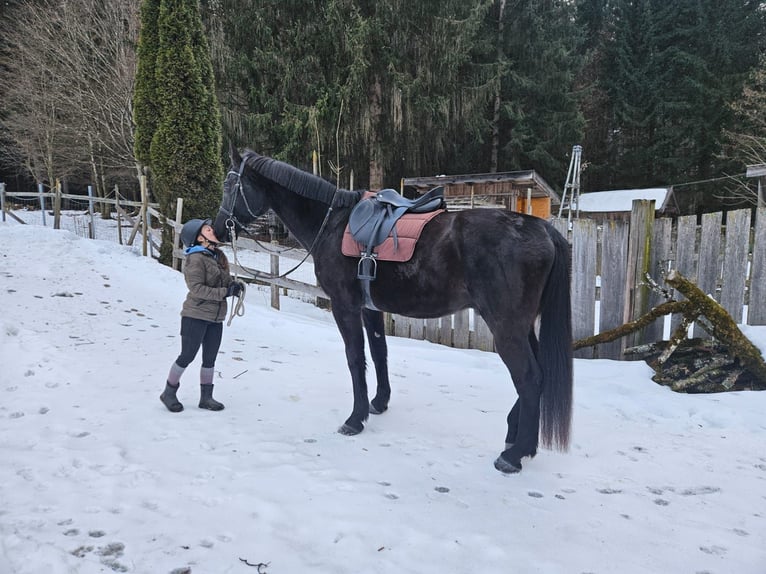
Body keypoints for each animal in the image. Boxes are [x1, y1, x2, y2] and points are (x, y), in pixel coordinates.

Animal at [213, 150, 572, 476]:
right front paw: (378, 403)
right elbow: (378, 352)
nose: (216, 230)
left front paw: (355, 419)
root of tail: (541, 229)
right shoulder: (371, 309)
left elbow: (355, 358)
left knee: (529, 377)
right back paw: (518, 440)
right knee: (537, 374)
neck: (331, 223)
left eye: (231, 185)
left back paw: (513, 455)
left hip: (505, 327)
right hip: (522, 326)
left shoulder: (345, 306)